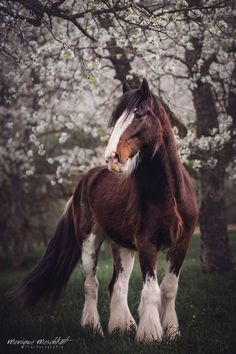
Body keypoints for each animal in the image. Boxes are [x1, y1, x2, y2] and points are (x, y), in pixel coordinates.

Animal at [14, 79, 198, 342]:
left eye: (139, 114)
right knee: (91, 284)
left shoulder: (181, 243)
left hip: (123, 246)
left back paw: (122, 327)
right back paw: (94, 327)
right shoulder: (147, 243)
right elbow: (151, 290)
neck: (170, 195)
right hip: (90, 241)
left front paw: (171, 331)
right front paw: (150, 335)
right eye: (117, 118)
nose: (112, 157)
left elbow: (169, 288)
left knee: (117, 285)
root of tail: (85, 180)